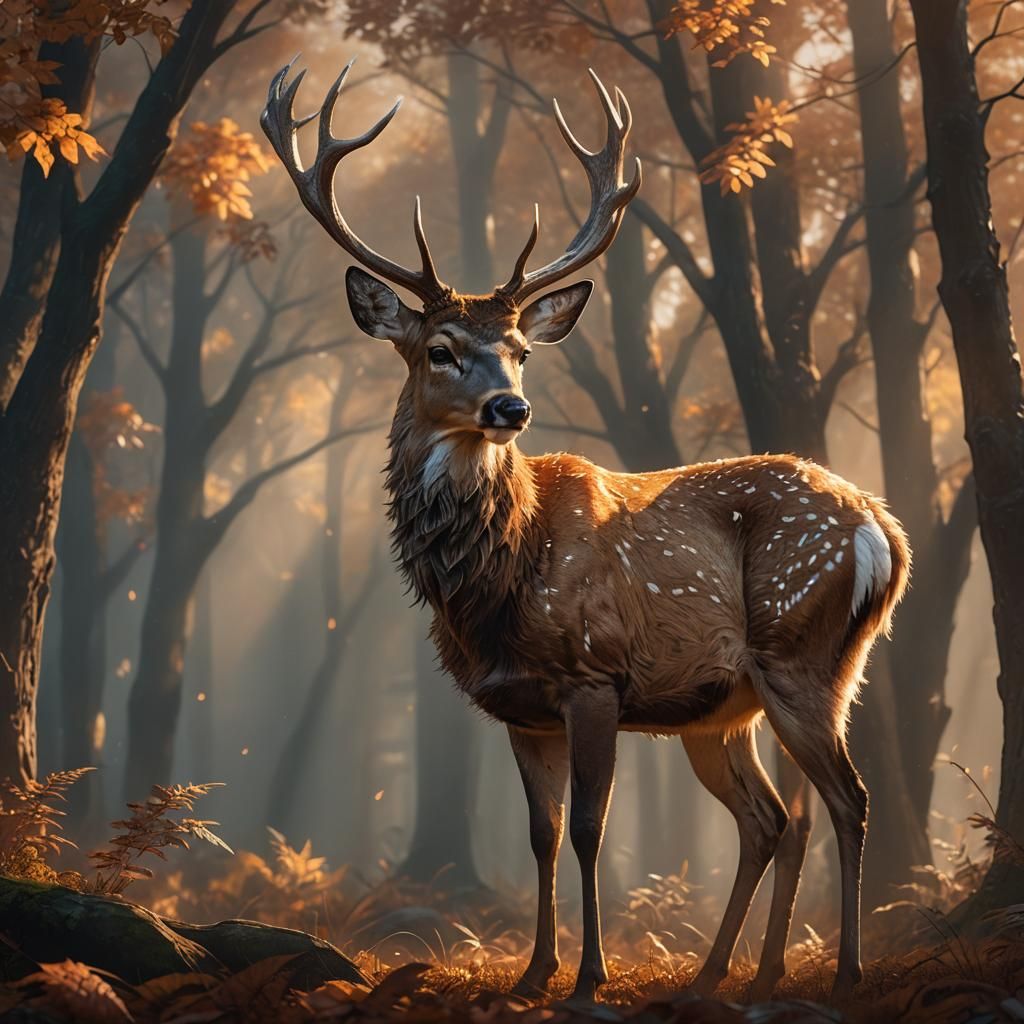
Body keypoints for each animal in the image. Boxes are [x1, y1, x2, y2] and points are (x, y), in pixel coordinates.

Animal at [261, 58, 910, 1004]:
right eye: (440, 349)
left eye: (522, 350)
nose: (511, 408)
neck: (495, 587)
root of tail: (885, 533)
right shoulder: (517, 705)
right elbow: (540, 832)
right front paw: (534, 971)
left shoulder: (595, 677)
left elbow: (590, 830)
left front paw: (589, 977)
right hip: (724, 710)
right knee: (772, 819)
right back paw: (729, 976)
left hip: (806, 653)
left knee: (848, 800)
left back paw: (843, 973)